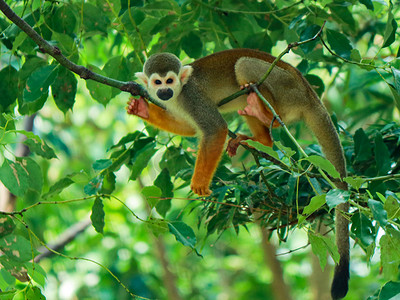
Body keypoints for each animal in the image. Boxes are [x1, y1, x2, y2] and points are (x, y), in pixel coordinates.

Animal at [126, 48, 348, 298]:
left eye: (170, 80)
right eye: (158, 82)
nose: (165, 91)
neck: (179, 94)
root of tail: (310, 92)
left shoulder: (192, 98)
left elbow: (215, 129)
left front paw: (200, 183)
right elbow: (189, 128)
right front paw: (142, 109)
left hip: (288, 89)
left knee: (244, 66)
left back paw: (265, 113)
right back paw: (261, 138)